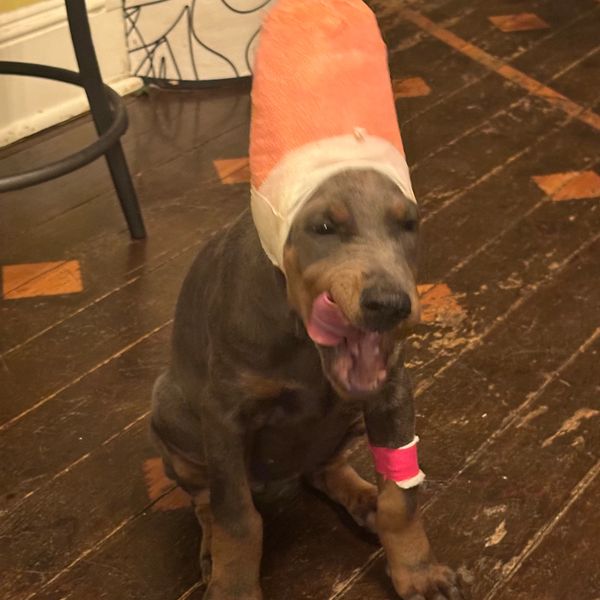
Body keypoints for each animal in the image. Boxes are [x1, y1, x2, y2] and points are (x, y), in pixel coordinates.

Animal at [151, 1, 464, 598]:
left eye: (409, 224)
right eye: (322, 226)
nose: (390, 305)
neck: (301, 343)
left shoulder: (392, 392)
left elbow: (403, 498)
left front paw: (416, 570)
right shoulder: (224, 415)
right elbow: (236, 518)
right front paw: (232, 584)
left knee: (326, 467)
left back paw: (362, 498)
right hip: (174, 416)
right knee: (203, 499)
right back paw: (209, 549)